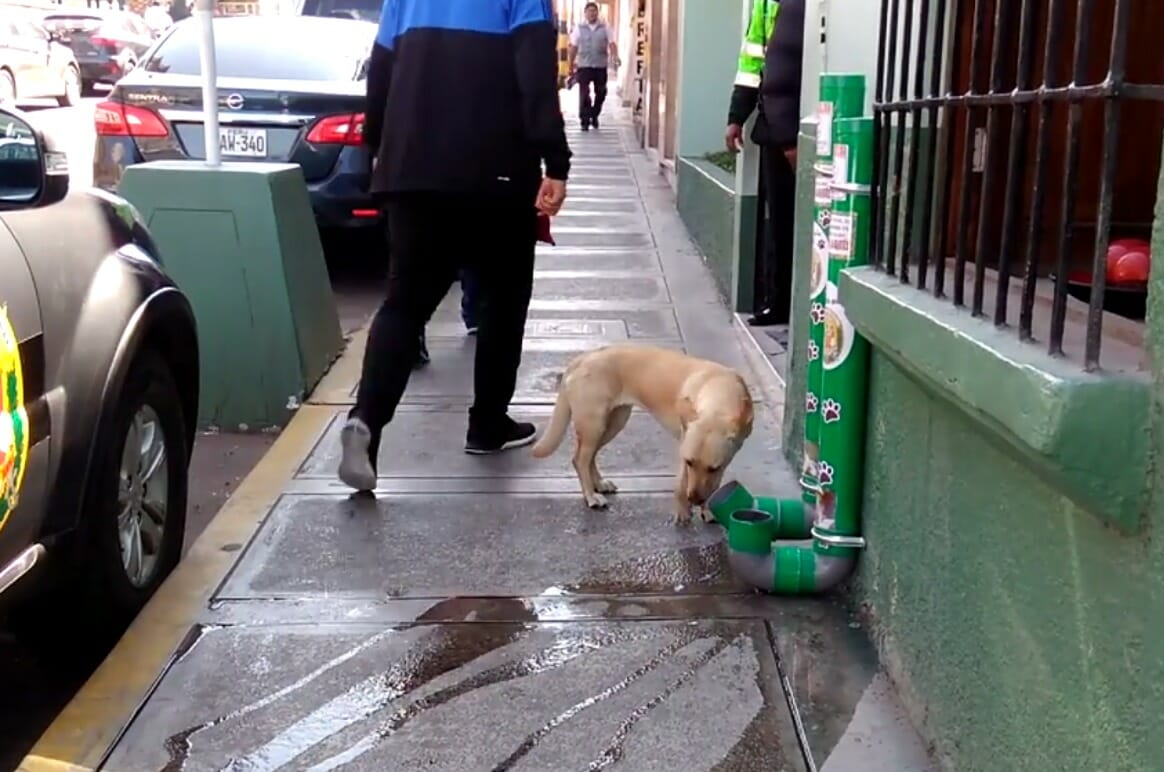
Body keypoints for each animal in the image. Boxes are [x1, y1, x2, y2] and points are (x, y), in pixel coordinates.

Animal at [530, 344, 754, 526]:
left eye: (713, 468)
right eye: (689, 462)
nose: (695, 500)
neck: (719, 392)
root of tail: (583, 357)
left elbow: (712, 484)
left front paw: (706, 509)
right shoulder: (685, 450)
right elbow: (682, 484)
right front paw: (683, 512)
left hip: (613, 423)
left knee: (589, 457)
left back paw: (599, 485)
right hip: (594, 425)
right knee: (580, 459)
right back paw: (591, 496)